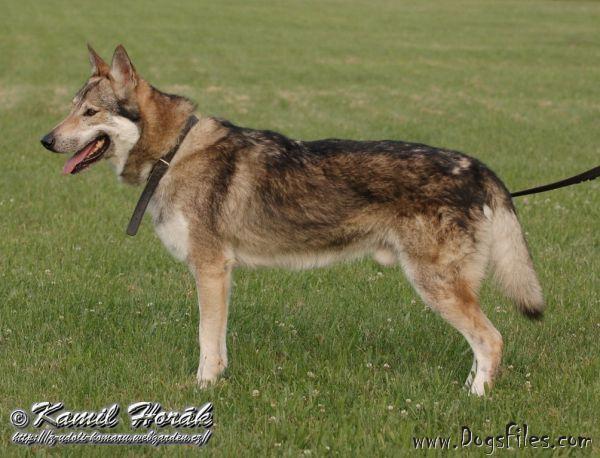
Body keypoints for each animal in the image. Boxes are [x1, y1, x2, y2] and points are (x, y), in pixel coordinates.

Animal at [39, 47, 540, 398]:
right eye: (70, 107)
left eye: (90, 113)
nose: (45, 139)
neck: (174, 152)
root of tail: (479, 167)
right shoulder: (221, 274)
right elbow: (219, 342)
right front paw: (219, 383)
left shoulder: (210, 270)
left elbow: (205, 342)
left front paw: (202, 391)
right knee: (482, 345)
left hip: (435, 285)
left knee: (492, 339)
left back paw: (474, 399)